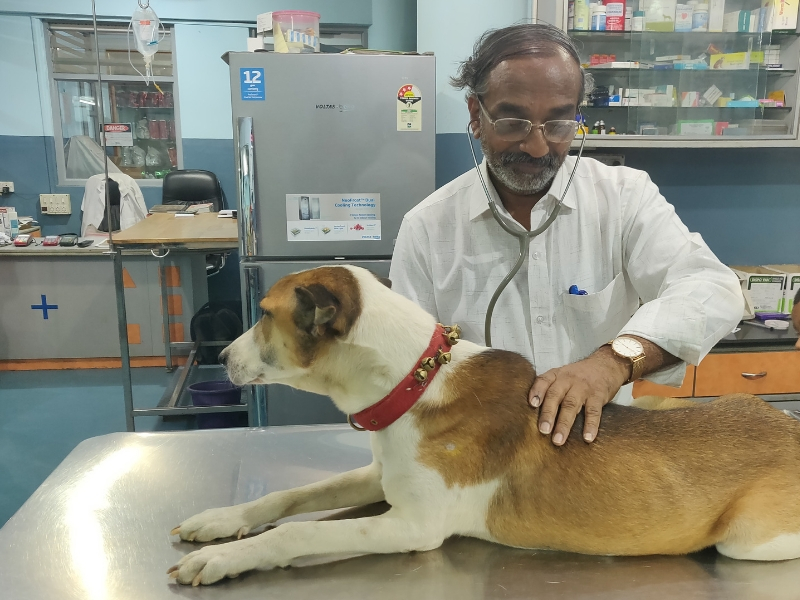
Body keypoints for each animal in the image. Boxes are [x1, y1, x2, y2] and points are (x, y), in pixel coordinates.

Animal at [167, 264, 800, 584]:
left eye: (263, 316)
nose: (221, 355)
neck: (416, 380)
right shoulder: (381, 478)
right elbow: (290, 495)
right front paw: (220, 521)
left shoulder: (415, 524)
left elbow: (298, 532)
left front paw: (223, 559)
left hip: (747, 541)